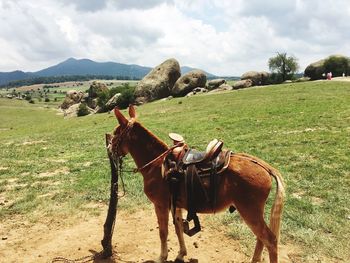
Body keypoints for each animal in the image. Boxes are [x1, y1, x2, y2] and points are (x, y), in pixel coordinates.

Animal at [106, 106, 284, 262]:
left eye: (116, 133)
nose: (109, 148)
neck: (156, 164)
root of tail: (263, 165)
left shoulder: (160, 205)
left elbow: (163, 232)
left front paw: (162, 257)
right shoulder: (175, 205)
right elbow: (178, 229)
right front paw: (181, 254)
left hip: (249, 211)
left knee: (270, 240)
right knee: (261, 238)